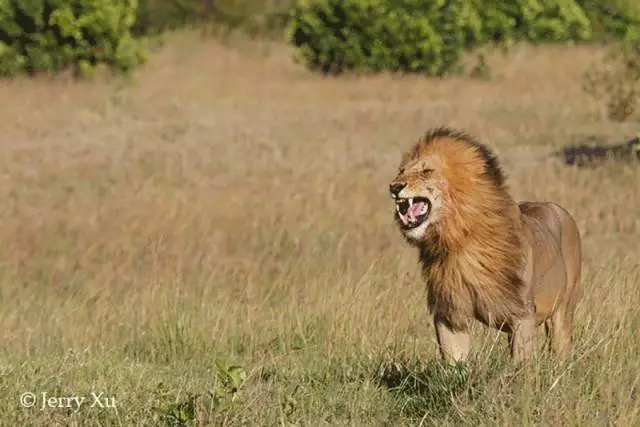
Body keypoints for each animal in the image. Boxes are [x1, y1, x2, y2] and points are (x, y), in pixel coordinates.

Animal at [388, 127, 584, 364]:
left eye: (427, 171)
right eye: (401, 171)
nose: (394, 186)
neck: (458, 240)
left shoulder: (523, 314)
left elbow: (521, 365)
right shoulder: (450, 314)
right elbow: (454, 363)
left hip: (562, 313)